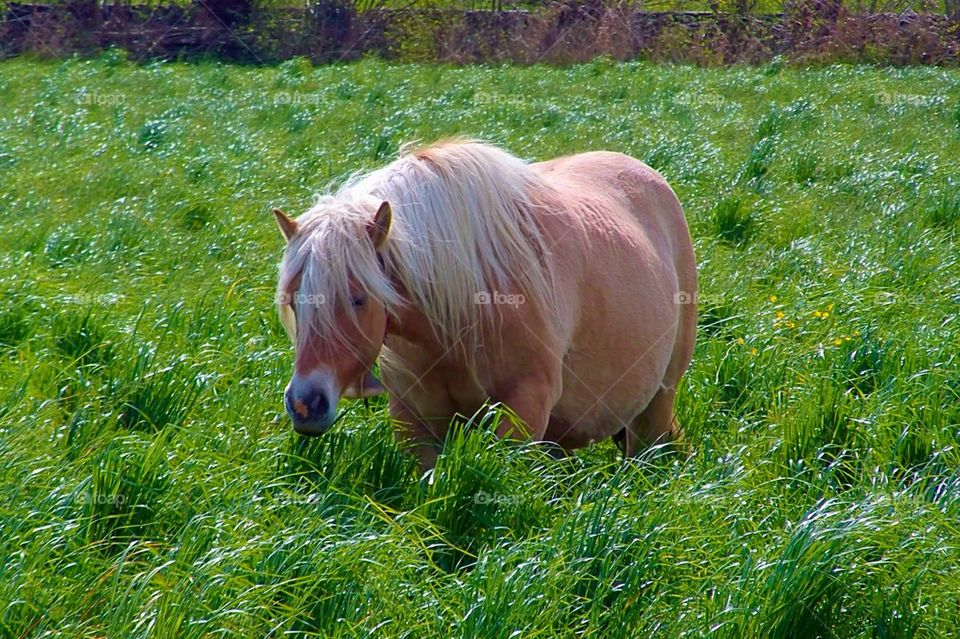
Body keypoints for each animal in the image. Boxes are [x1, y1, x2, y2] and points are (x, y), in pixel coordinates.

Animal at [274, 140, 692, 470]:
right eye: (294, 299)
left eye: (359, 298)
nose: (305, 404)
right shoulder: (416, 418)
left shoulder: (524, 408)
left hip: (656, 404)